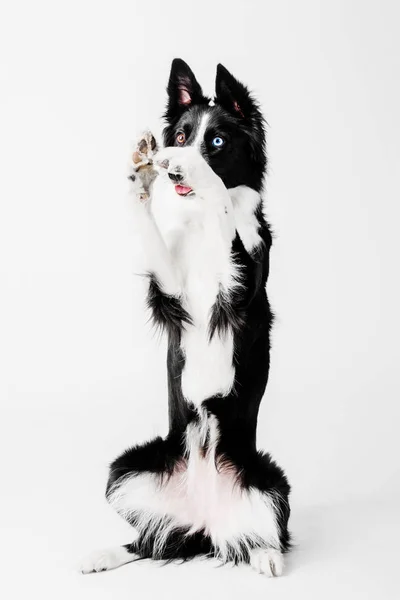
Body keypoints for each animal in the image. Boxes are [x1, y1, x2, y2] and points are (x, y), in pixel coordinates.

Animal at [79, 59, 290, 576]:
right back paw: (103, 554)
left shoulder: (238, 291)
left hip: (271, 478)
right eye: (180, 134)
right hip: (128, 466)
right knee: (151, 541)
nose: (172, 164)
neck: (201, 223)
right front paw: (140, 176)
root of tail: (206, 523)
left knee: (266, 533)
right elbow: (151, 231)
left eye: (215, 142)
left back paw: (266, 556)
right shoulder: (173, 287)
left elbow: (228, 207)